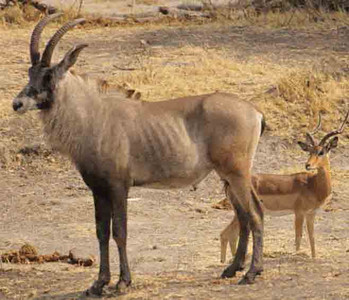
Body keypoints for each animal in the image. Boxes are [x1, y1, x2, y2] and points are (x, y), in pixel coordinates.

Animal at [12, 15, 266, 294]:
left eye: (48, 75)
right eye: (30, 72)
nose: (17, 104)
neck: (94, 115)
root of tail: (255, 112)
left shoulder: (119, 186)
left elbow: (119, 232)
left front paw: (123, 282)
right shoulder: (98, 189)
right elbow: (101, 233)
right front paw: (98, 284)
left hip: (237, 173)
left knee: (255, 214)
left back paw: (251, 273)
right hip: (227, 177)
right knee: (243, 216)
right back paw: (233, 269)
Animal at [219, 112, 346, 262]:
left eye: (321, 152)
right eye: (310, 151)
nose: (307, 165)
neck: (312, 185)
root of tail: (228, 184)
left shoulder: (311, 213)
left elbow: (312, 237)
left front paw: (314, 258)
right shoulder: (299, 212)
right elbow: (298, 237)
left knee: (230, 235)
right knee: (226, 234)